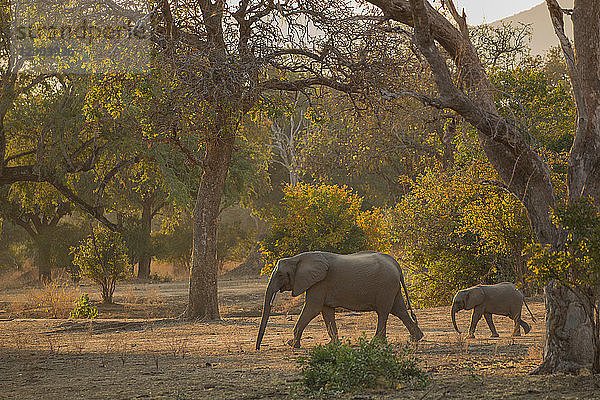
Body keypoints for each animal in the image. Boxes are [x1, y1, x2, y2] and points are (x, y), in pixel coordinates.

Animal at [255, 252, 424, 348]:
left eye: (280, 275)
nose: (258, 347)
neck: (297, 258)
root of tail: (397, 264)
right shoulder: (321, 285)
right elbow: (326, 311)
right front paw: (332, 345)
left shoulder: (320, 283)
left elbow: (312, 309)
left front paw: (293, 344)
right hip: (392, 287)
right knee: (399, 309)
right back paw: (416, 338)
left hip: (386, 286)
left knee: (383, 312)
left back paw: (376, 342)